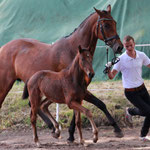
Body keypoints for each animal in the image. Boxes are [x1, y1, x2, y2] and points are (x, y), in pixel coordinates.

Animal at [0, 4, 123, 141]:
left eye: (115, 22)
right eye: (106, 25)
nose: (119, 47)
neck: (73, 50)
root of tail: (3, 48)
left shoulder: (81, 90)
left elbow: (98, 104)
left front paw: (116, 129)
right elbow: (82, 108)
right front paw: (71, 135)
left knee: (34, 106)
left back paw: (53, 128)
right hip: (6, 84)